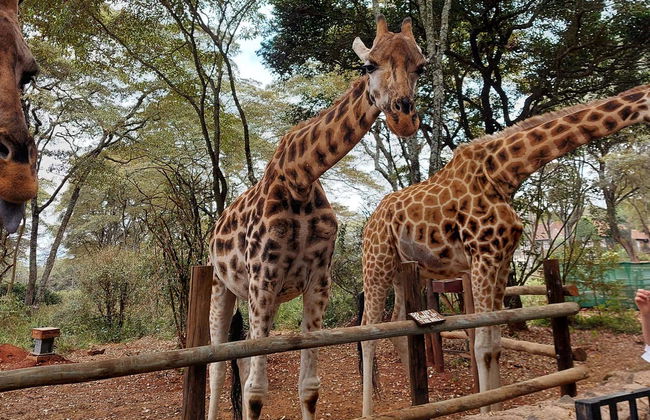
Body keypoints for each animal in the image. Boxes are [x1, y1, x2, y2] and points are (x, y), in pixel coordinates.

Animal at [207, 15, 426, 420]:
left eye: (421, 67)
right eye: (368, 65)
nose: (404, 117)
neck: (299, 178)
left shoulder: (316, 280)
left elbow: (308, 387)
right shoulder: (263, 279)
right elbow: (256, 392)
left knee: (239, 361)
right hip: (222, 285)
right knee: (216, 367)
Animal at [360, 85, 650, 415]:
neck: (503, 173)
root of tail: (369, 224)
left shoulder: (502, 258)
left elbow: (495, 345)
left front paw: (496, 405)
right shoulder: (483, 256)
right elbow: (481, 344)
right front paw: (485, 409)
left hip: (404, 270)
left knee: (394, 325)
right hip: (376, 263)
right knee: (368, 334)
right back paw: (369, 412)